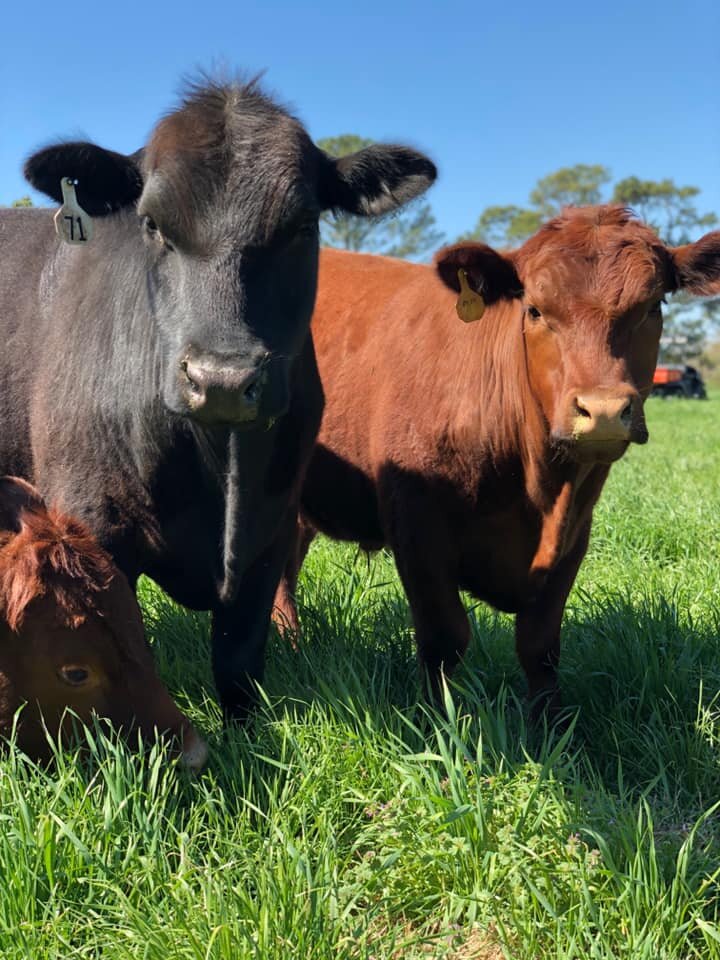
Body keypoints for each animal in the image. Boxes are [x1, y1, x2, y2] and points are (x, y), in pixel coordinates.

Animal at [0, 76, 437, 721]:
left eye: (303, 225)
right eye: (152, 224)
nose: (223, 378)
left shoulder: (271, 527)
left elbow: (238, 660)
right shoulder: (87, 518)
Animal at [274, 206, 720, 715]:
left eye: (654, 307)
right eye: (535, 310)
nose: (603, 410)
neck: (538, 489)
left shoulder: (574, 532)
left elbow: (539, 645)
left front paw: (549, 724)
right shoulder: (416, 526)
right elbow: (444, 640)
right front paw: (440, 722)